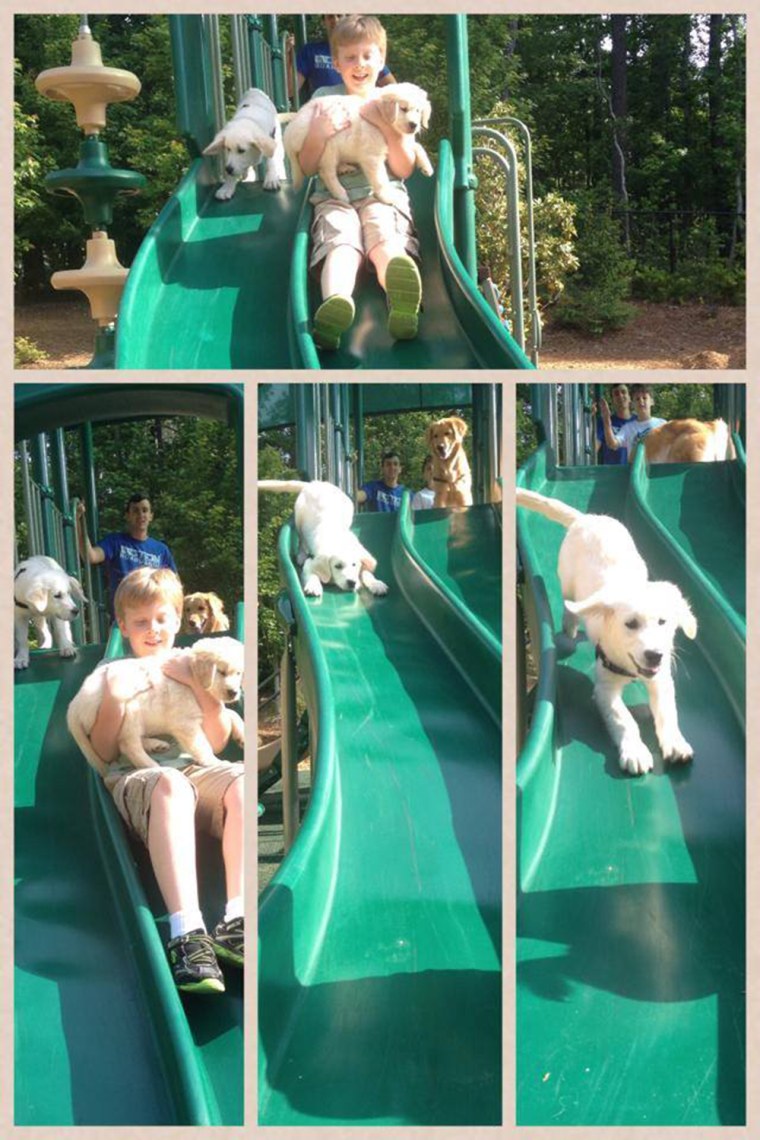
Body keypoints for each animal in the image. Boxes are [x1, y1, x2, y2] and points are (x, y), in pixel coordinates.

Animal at [66, 638, 243, 779]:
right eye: (221, 671)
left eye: (239, 673)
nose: (234, 692)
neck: (191, 678)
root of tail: (75, 703)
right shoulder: (185, 723)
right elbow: (201, 745)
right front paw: (214, 761)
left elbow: (232, 713)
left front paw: (241, 734)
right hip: (129, 708)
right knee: (127, 744)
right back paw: (152, 766)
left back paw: (154, 745)